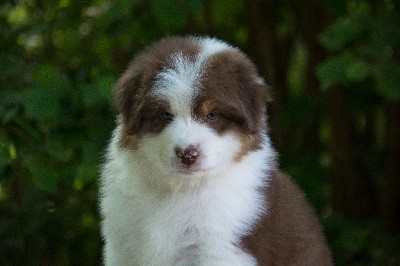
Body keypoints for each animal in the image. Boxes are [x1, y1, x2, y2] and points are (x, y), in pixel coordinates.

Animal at [100, 36, 332, 264]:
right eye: (165, 115)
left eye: (212, 115)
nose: (187, 154)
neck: (183, 188)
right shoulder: (121, 247)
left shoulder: (220, 248)